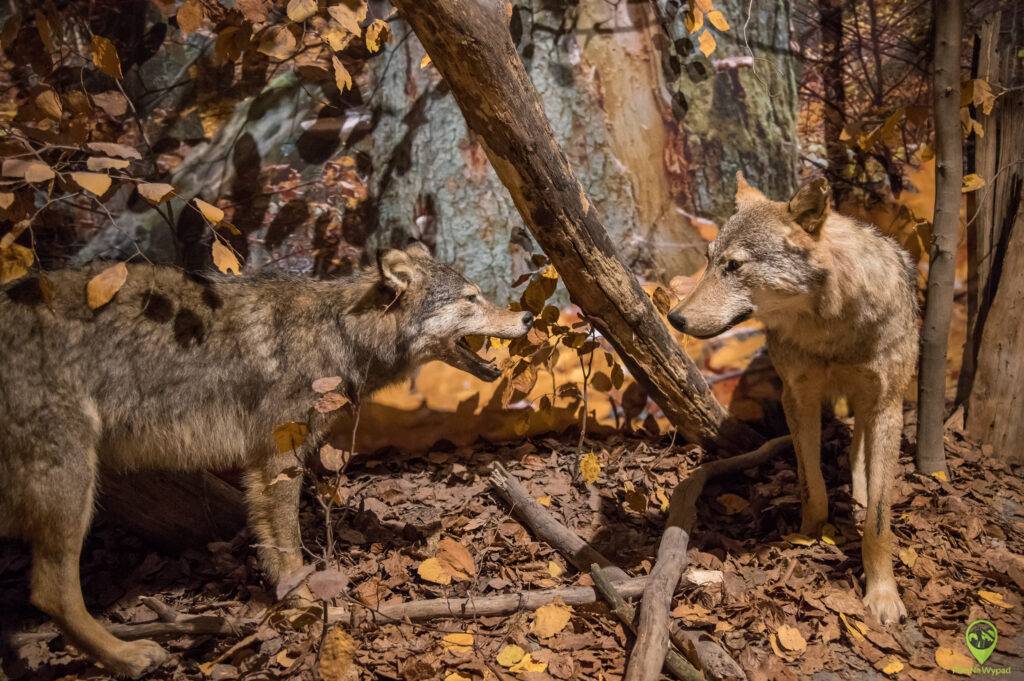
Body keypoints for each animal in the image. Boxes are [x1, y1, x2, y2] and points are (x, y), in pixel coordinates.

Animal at [0, 238, 528, 675]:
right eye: (471, 298)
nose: (524, 318)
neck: (339, 330)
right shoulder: (278, 457)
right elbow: (289, 545)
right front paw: (305, 606)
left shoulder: (261, 463)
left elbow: (272, 543)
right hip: (72, 484)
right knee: (50, 591)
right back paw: (128, 657)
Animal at [667, 175, 917, 626]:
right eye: (709, 260)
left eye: (734, 266)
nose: (675, 317)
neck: (833, 330)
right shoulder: (798, 396)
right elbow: (811, 484)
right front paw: (808, 535)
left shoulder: (887, 405)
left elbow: (878, 522)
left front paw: (883, 595)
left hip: (871, 404)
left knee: (859, 449)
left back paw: (859, 490)